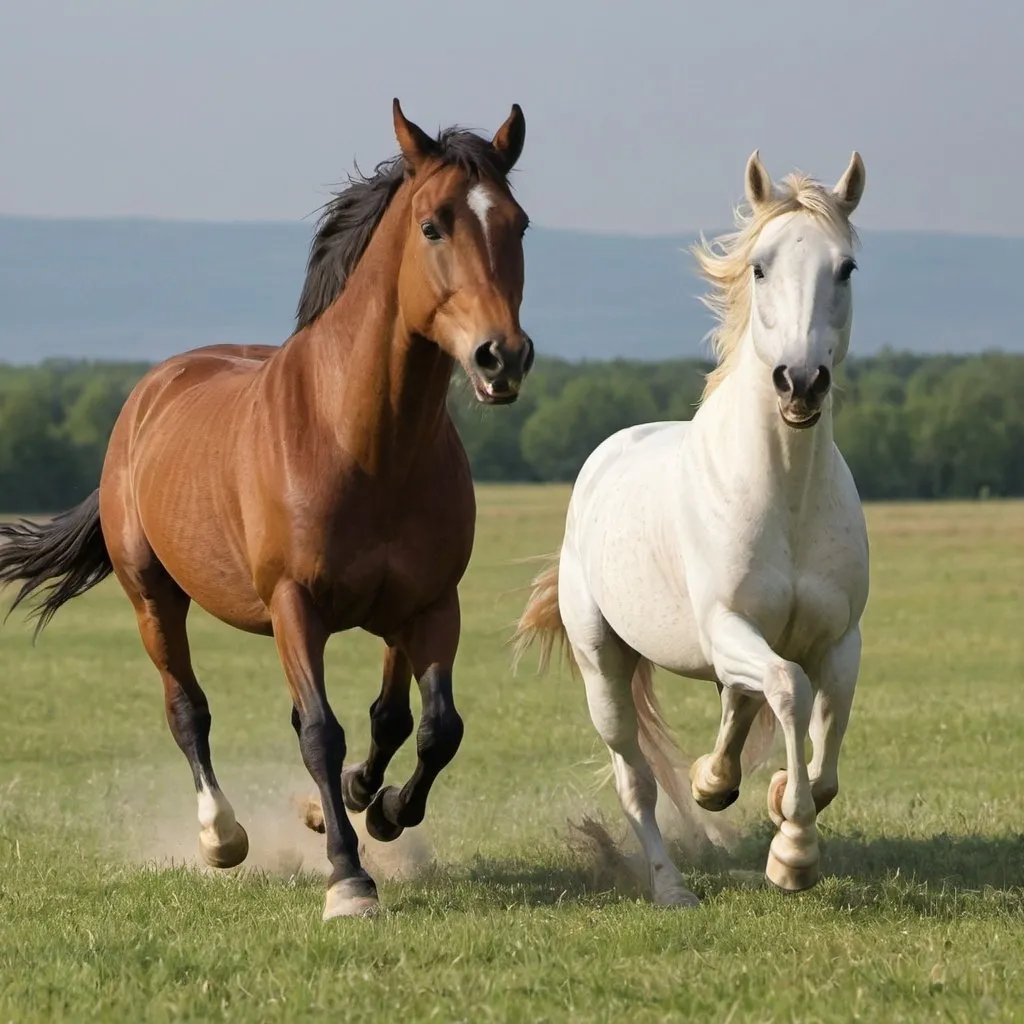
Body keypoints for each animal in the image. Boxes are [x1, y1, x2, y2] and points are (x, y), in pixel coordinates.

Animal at [2, 101, 536, 921]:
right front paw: (348, 879)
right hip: (153, 597)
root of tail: (149, 394)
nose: (500, 356)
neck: (360, 441)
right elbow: (320, 732)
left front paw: (377, 807)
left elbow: (431, 727)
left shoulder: (430, 603)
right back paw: (222, 837)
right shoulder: (294, 604)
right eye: (432, 225)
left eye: (519, 223)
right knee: (188, 710)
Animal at [516, 151, 868, 905]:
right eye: (760, 266)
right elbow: (789, 691)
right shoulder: (727, 627)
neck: (786, 494)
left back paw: (716, 782)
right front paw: (792, 855)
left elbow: (823, 761)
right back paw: (672, 886)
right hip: (605, 670)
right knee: (638, 781)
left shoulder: (839, 641)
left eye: (846, 268)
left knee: (738, 703)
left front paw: (777, 802)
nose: (801, 383)